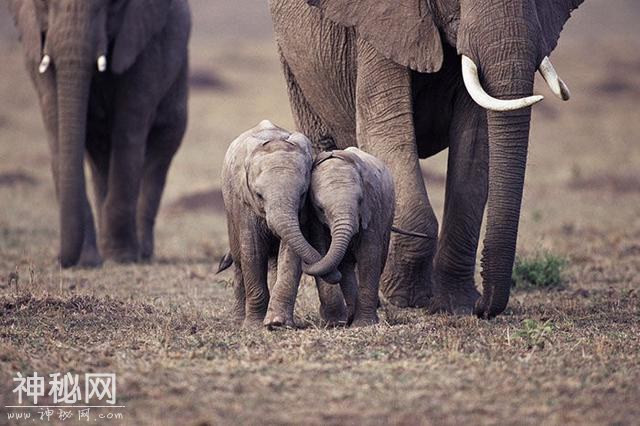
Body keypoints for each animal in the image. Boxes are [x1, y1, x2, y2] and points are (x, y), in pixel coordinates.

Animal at [7, 0, 191, 266]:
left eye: (110, 5)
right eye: (44, 4)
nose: (61, 260)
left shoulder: (143, 45)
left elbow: (127, 134)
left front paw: (122, 258)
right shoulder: (35, 45)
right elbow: (58, 132)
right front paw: (87, 262)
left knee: (162, 147)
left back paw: (142, 253)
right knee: (100, 156)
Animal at [304, 146, 396, 326]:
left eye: (360, 201)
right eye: (320, 208)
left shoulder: (372, 209)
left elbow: (369, 256)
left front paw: (364, 324)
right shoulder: (314, 220)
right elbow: (321, 250)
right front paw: (340, 322)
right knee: (346, 265)